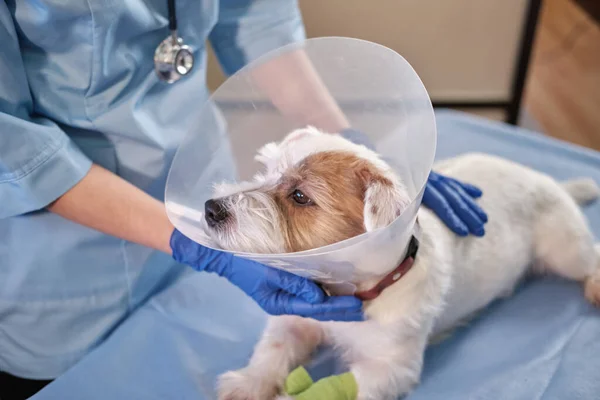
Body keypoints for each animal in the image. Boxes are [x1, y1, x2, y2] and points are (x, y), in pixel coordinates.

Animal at [203, 127, 600, 400]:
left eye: (300, 196)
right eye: (265, 171)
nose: (211, 209)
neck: (347, 288)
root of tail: (551, 181)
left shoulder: (389, 369)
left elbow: (338, 387)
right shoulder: (294, 320)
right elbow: (271, 351)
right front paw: (248, 383)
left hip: (565, 250)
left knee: (590, 256)